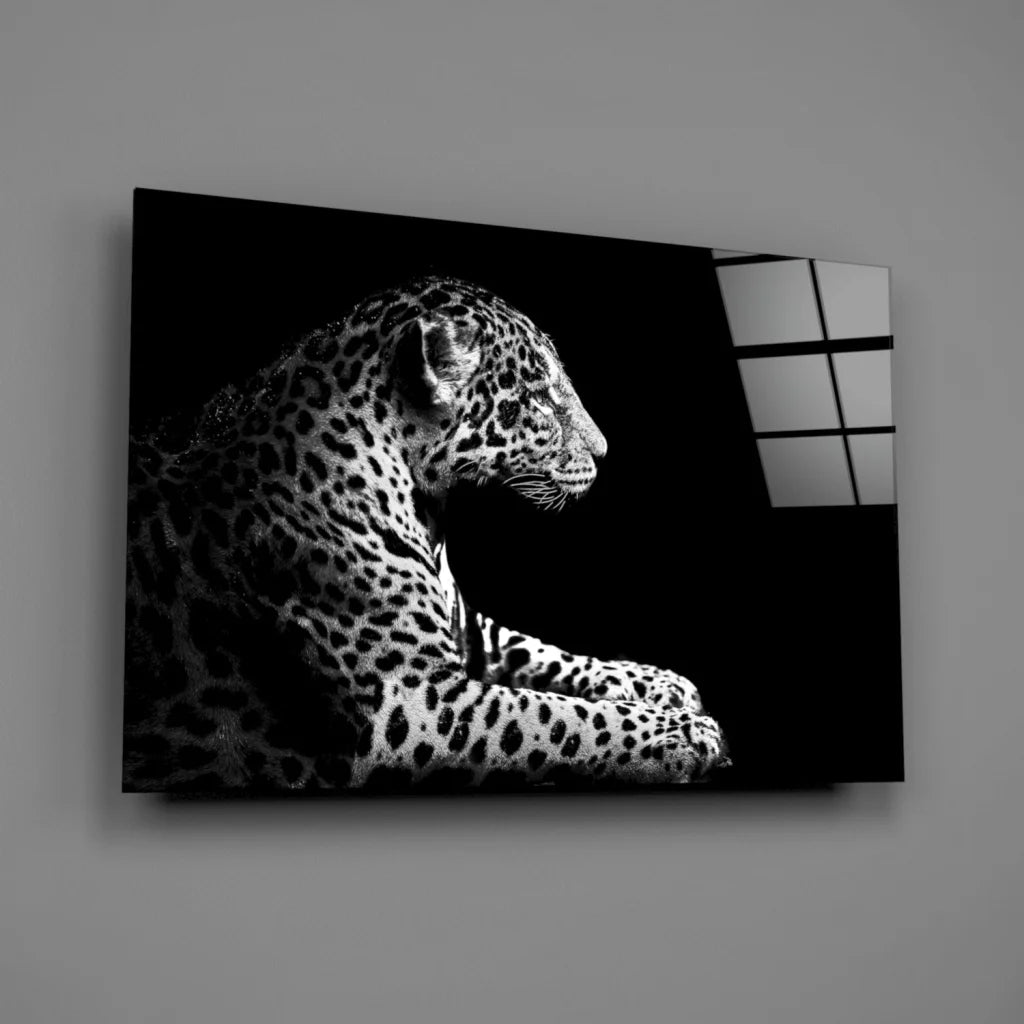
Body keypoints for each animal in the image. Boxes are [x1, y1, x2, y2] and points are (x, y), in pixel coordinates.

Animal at [122, 276, 729, 792]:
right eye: (538, 399)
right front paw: (687, 733)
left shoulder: (469, 634)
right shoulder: (414, 704)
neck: (426, 507)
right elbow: (558, 717)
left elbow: (548, 654)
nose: (604, 452)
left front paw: (660, 683)